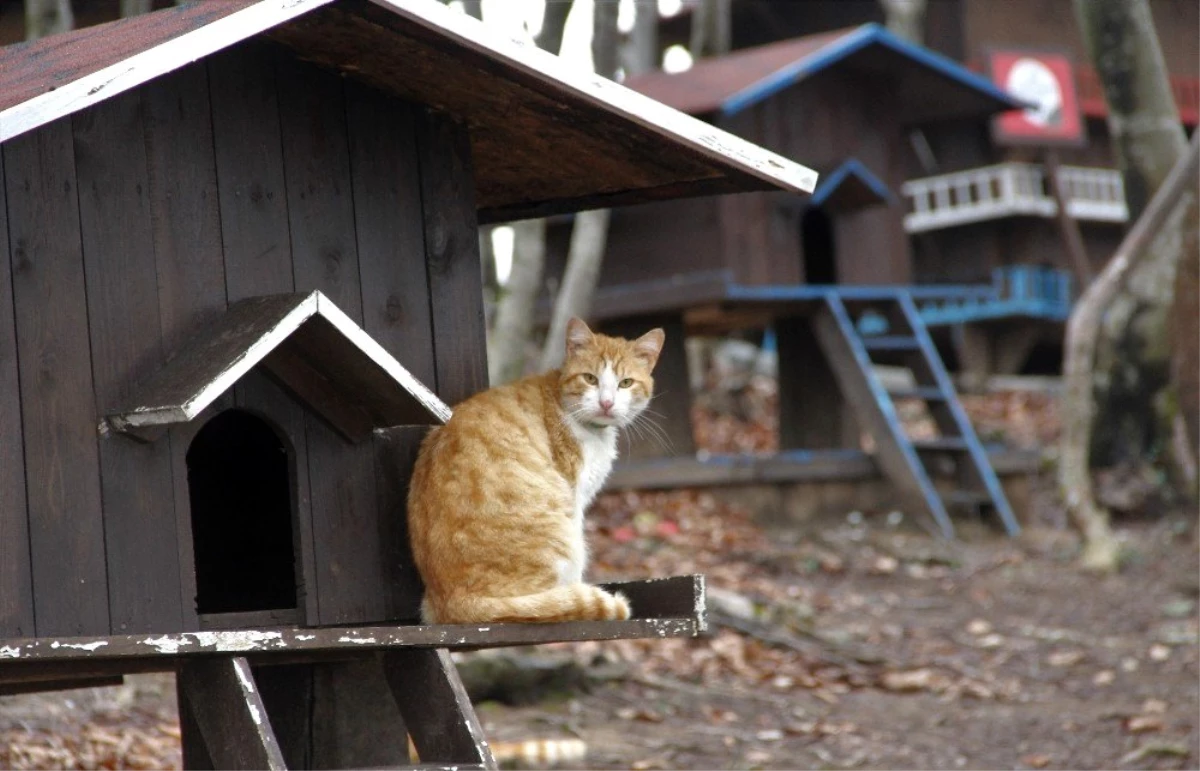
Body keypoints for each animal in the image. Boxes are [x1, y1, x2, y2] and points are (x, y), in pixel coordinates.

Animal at [408, 314, 662, 619]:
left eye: (625, 383)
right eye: (590, 379)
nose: (607, 403)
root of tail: (454, 600)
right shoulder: (575, 499)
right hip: (563, 537)